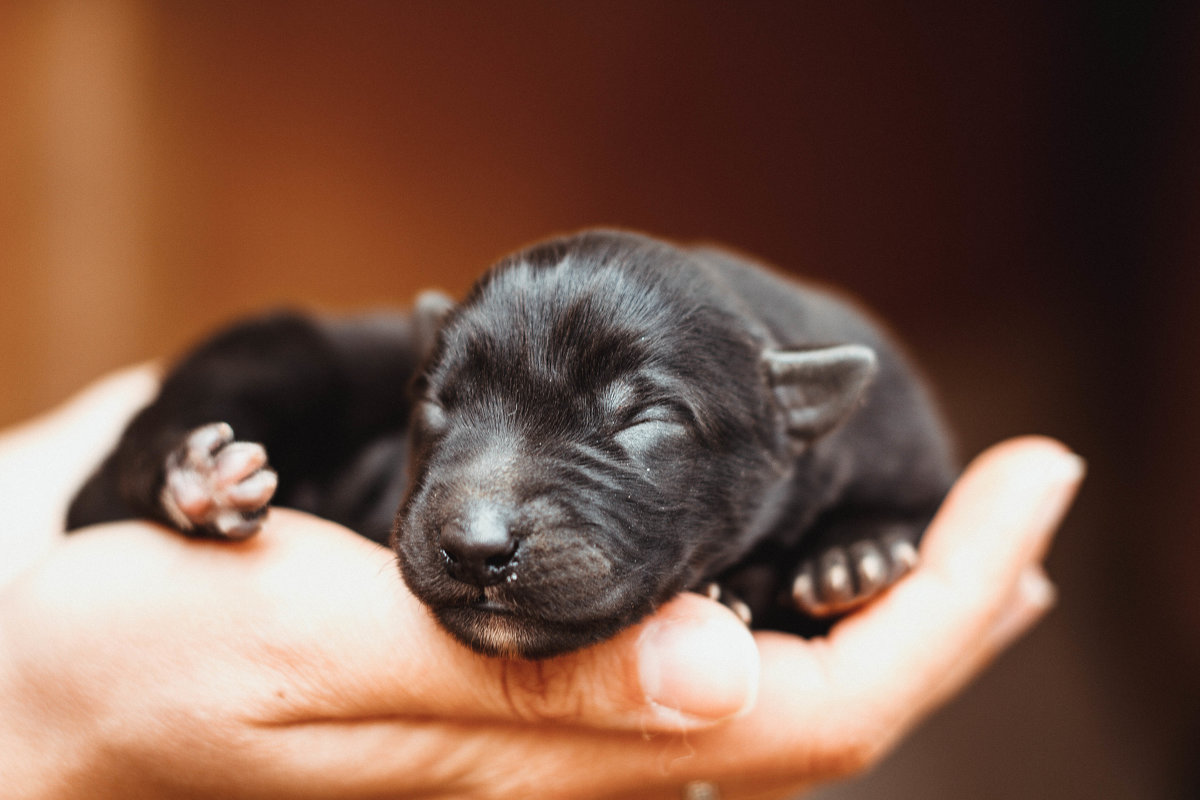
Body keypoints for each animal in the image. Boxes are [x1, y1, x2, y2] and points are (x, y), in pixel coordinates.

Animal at [68, 230, 955, 657]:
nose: (474, 549)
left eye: (643, 419)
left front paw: (853, 555)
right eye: (438, 404)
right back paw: (198, 478)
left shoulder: (900, 435)